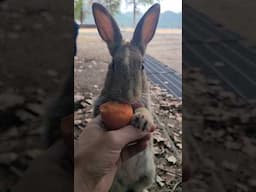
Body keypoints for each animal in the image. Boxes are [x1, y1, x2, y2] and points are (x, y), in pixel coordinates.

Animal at [92, 3, 160, 192]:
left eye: (142, 66)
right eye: (113, 64)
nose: (128, 96)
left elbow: (146, 111)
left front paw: (142, 119)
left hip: (148, 174)